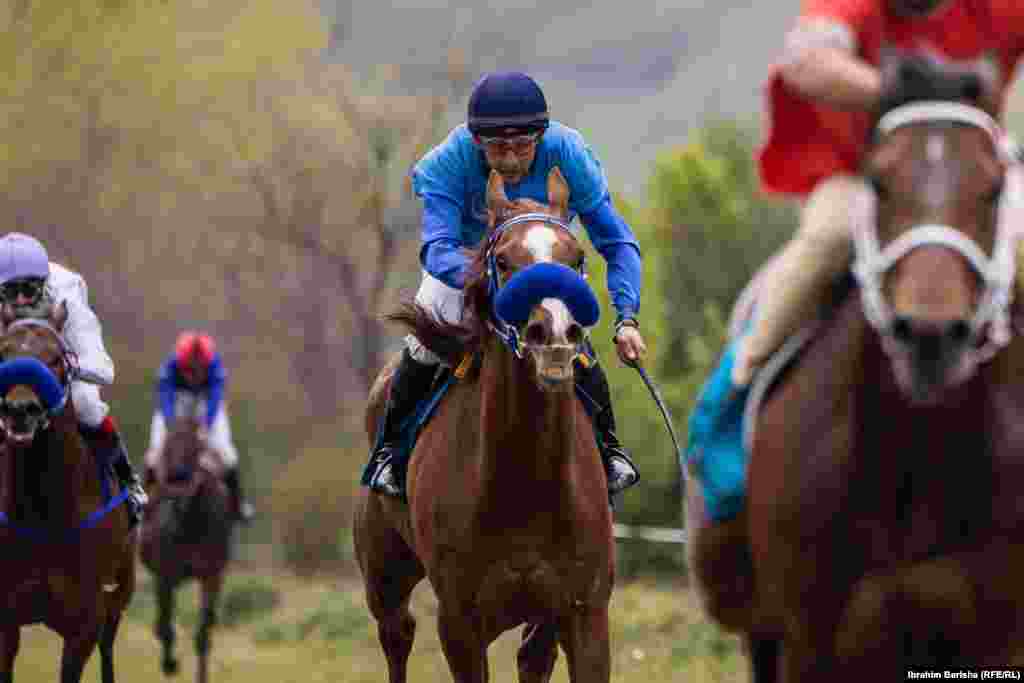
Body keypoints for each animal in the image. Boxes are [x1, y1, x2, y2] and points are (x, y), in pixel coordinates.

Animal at [0, 305, 136, 683]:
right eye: (4, 351)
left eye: (56, 358)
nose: (20, 409)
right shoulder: (5, 619)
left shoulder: (84, 620)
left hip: (120, 594)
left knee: (108, 646)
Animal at [140, 411, 234, 683]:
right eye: (166, 448)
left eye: (196, 446)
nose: (176, 480)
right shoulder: (164, 575)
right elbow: (163, 625)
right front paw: (170, 664)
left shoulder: (211, 575)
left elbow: (203, 632)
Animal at [356, 167, 614, 679]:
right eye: (503, 259)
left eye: (576, 257)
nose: (554, 335)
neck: (525, 482)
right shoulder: (460, 620)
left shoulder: (585, 611)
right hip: (384, 574)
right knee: (397, 633)